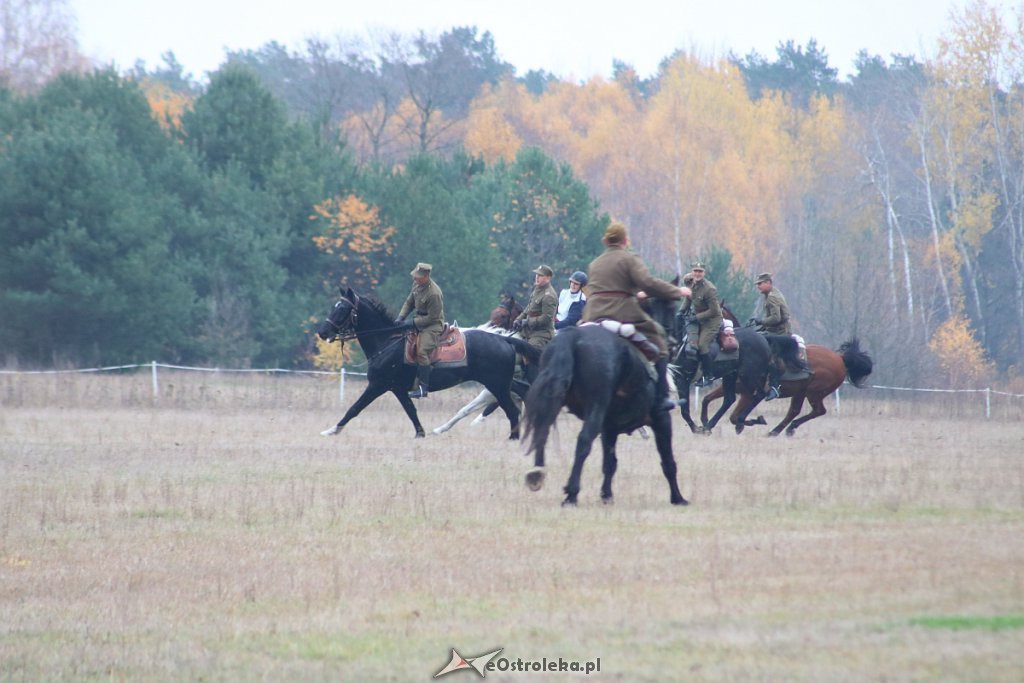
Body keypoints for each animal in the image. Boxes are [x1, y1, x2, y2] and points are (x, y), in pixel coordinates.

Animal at [313, 286, 536, 438]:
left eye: (342, 308)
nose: (322, 332)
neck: (387, 340)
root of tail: (505, 339)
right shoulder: (397, 389)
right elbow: (411, 410)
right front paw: (420, 434)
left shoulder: (378, 385)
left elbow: (354, 408)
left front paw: (332, 430)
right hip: (502, 384)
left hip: (497, 385)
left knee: (512, 410)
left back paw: (513, 438)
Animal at [520, 321, 688, 507]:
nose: (675, 344)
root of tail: (572, 336)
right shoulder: (662, 421)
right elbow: (668, 462)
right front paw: (677, 497)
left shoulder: (609, 429)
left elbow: (609, 463)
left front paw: (607, 495)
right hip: (596, 407)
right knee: (583, 441)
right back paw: (571, 493)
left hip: (554, 397)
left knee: (542, 430)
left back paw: (537, 472)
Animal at [696, 337, 872, 438]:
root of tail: (841, 359)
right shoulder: (736, 390)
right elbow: (707, 399)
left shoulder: (747, 392)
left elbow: (734, 415)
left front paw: (744, 423)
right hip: (801, 392)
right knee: (794, 411)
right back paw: (778, 430)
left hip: (813, 393)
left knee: (818, 411)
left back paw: (786, 428)